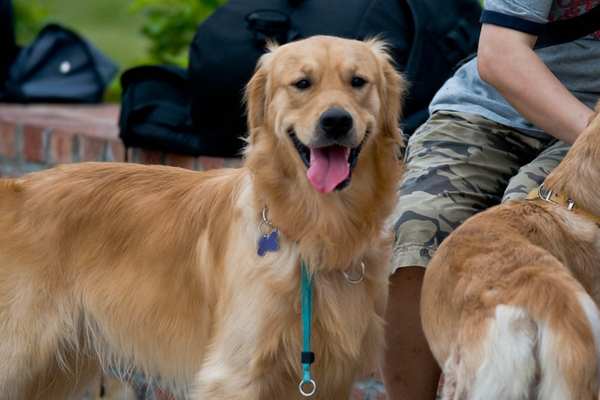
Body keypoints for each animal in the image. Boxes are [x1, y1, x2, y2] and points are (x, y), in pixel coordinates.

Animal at [0, 36, 408, 398]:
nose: (336, 121)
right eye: (302, 84)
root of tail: (15, 186)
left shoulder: (331, 378)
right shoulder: (234, 373)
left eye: (358, 82)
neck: (313, 231)